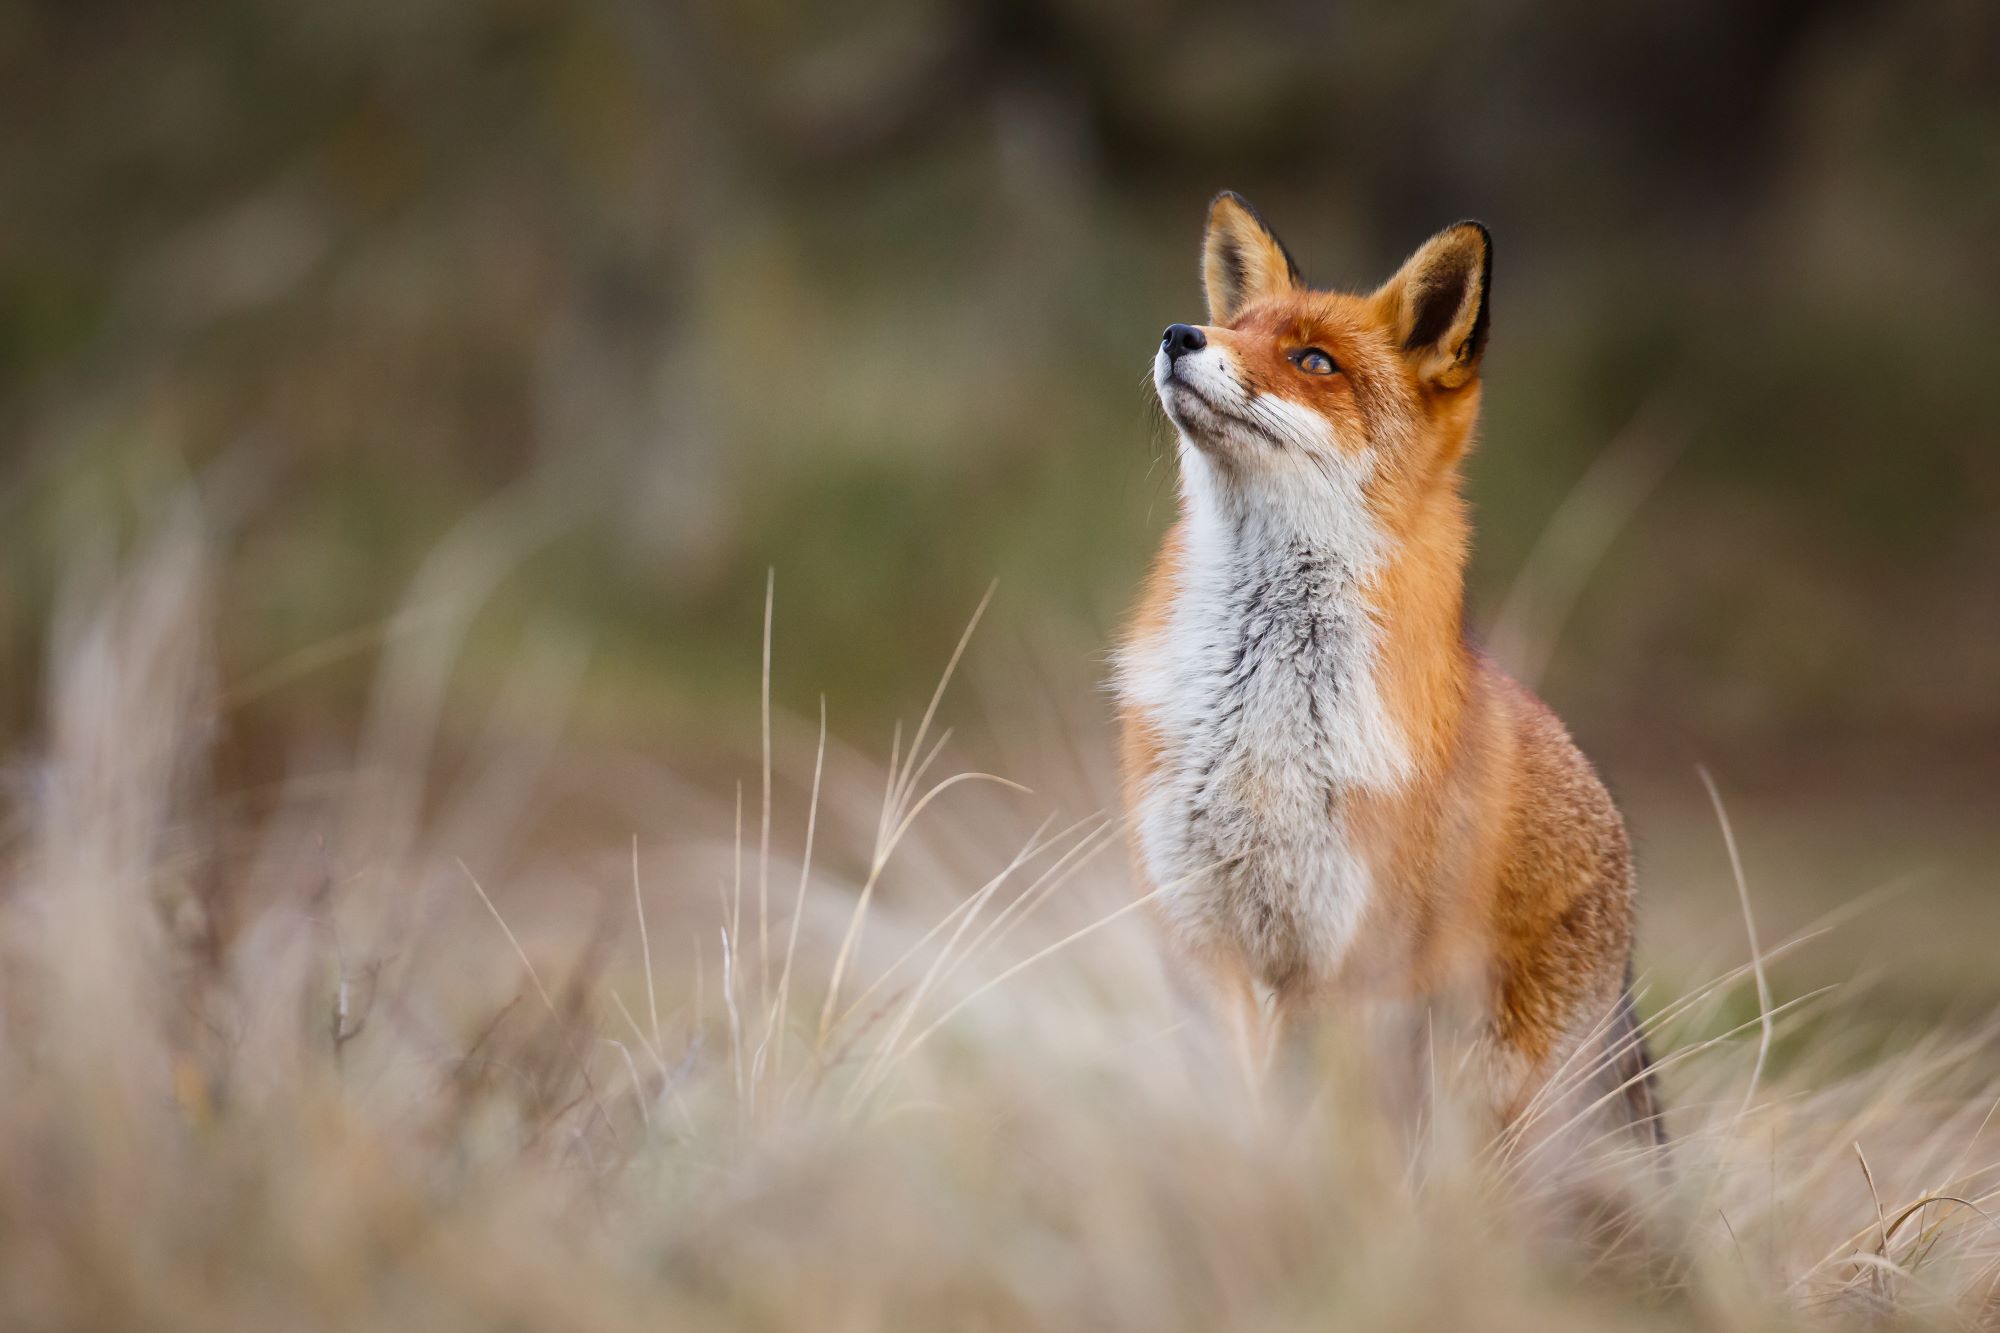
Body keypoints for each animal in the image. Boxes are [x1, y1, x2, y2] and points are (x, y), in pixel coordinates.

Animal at [1120, 189, 1664, 1144]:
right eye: (1236, 328)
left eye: (1312, 360)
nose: (1181, 333)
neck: (1256, 722)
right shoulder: (1202, 943)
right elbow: (1228, 1097)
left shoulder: (1335, 961)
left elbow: (1295, 1114)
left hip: (1487, 1095)